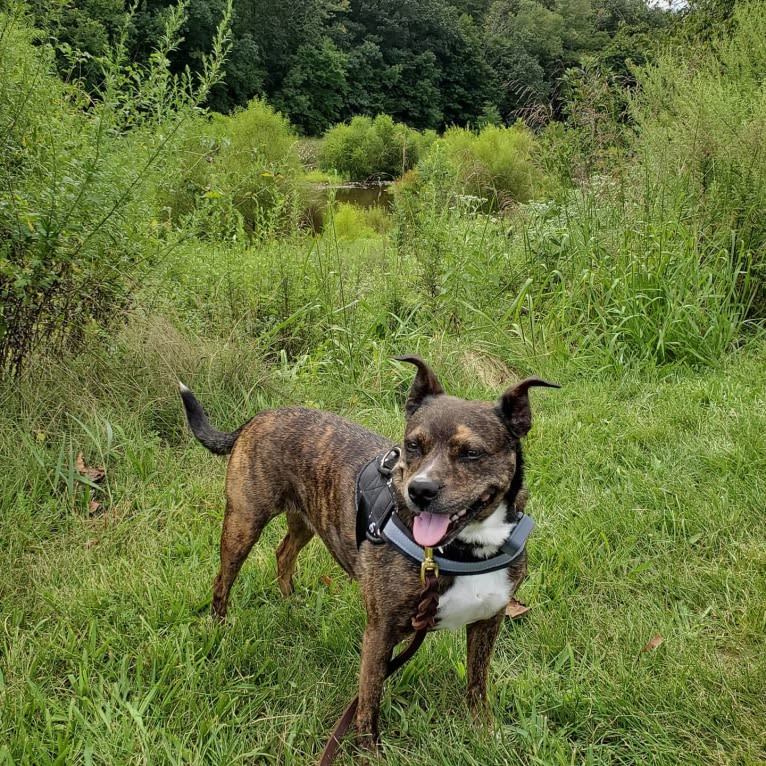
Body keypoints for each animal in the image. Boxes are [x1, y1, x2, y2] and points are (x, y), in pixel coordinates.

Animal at [180, 358, 560, 752]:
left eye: (471, 453)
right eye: (412, 445)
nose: (420, 490)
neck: (465, 549)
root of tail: (260, 415)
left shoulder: (489, 620)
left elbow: (477, 683)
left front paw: (485, 732)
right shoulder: (380, 633)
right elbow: (368, 702)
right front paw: (370, 753)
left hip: (307, 519)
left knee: (283, 552)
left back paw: (291, 602)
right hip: (244, 522)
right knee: (223, 578)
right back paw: (220, 627)